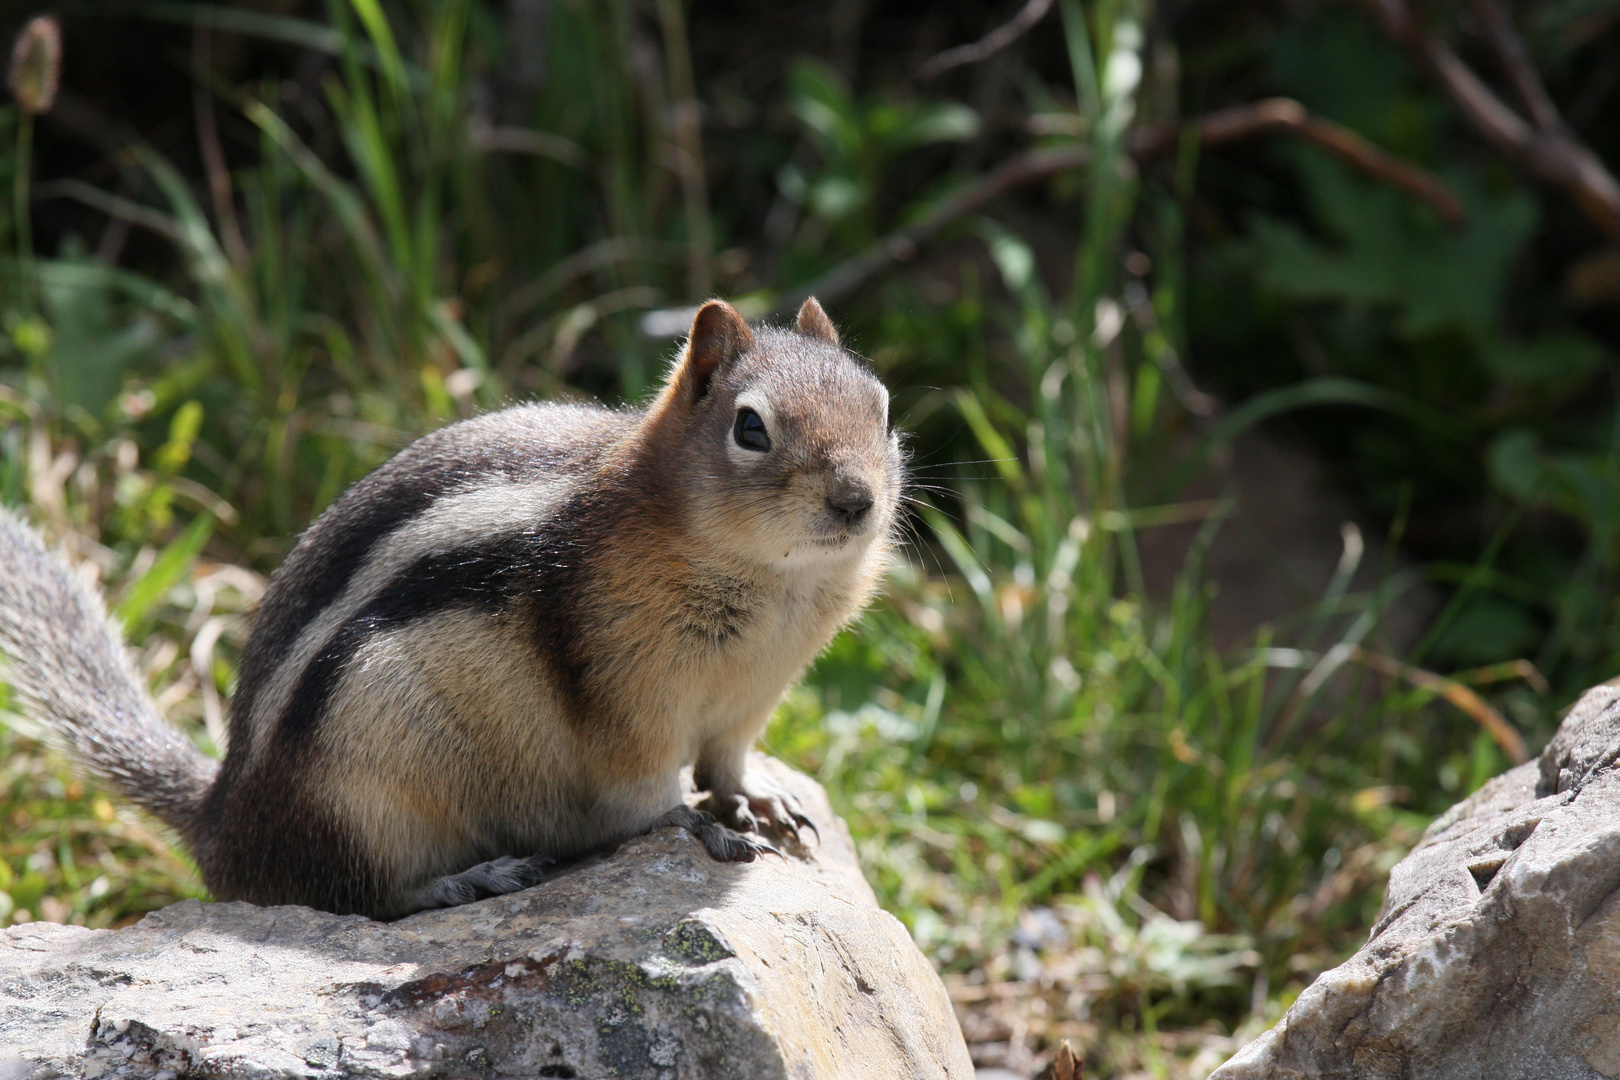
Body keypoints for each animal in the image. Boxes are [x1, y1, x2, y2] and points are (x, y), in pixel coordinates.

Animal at [0, 297, 907, 919]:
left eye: (883, 406)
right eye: (751, 429)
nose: (856, 500)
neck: (777, 585)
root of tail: (224, 821)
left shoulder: (747, 703)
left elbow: (727, 762)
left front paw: (758, 802)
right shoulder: (627, 696)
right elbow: (644, 794)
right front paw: (693, 824)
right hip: (364, 794)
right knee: (357, 897)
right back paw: (469, 878)